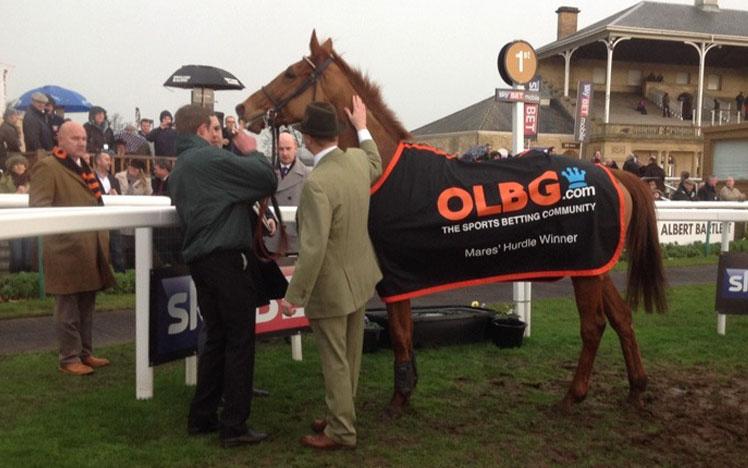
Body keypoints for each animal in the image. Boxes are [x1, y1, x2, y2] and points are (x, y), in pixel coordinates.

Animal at [238, 32, 668, 414]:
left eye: (291, 73)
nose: (243, 108)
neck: (381, 168)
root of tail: (614, 175)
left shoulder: (395, 275)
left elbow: (400, 334)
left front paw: (399, 398)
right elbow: (405, 333)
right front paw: (406, 390)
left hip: (585, 269)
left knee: (594, 326)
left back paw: (572, 397)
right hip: (594, 266)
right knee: (622, 319)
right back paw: (636, 389)